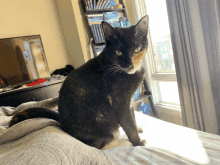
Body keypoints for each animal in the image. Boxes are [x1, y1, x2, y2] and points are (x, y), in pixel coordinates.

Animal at [9, 15, 150, 149]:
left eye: (137, 49)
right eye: (118, 52)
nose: (129, 65)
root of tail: (61, 122)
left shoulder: (130, 101)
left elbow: (133, 118)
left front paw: (138, 129)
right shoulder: (120, 102)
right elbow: (128, 124)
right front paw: (137, 143)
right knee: (98, 145)